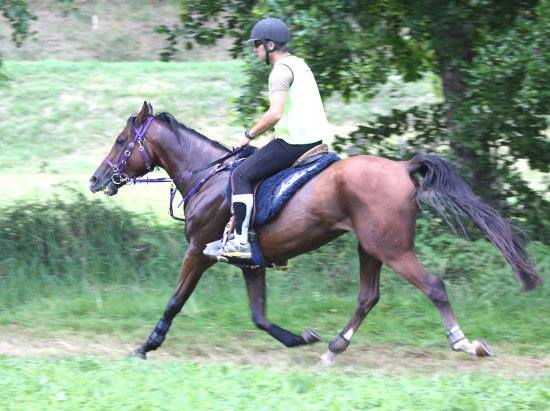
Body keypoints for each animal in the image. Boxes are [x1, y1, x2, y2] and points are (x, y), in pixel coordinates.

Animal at [88, 101, 540, 366]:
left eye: (122, 140)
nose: (96, 180)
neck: (208, 177)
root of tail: (402, 168)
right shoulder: (251, 264)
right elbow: (259, 316)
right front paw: (300, 338)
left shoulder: (199, 250)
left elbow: (175, 301)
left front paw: (147, 345)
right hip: (369, 247)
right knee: (368, 297)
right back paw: (332, 349)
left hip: (391, 248)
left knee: (433, 285)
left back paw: (465, 343)